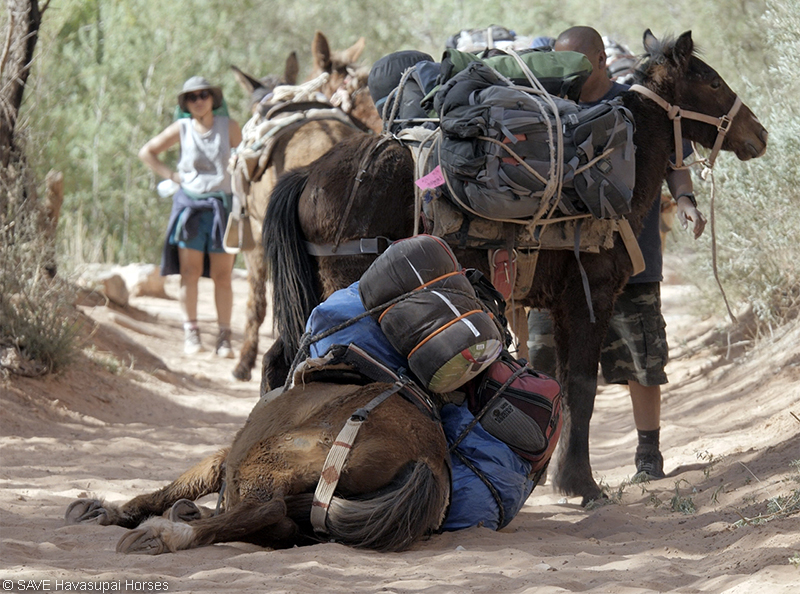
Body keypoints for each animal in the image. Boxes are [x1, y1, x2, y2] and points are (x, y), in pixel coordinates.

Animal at [65, 379, 450, 553]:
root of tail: (428, 456)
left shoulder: (223, 459)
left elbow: (167, 491)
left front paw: (107, 512)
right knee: (280, 522)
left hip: (265, 457)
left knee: (266, 509)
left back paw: (166, 534)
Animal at [262, 30, 768, 505]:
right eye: (713, 82)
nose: (759, 133)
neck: (619, 161)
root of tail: (309, 175)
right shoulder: (589, 296)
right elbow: (581, 388)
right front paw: (580, 484)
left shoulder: (555, 306)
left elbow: (562, 383)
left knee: (279, 362)